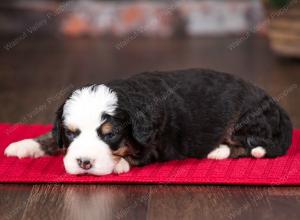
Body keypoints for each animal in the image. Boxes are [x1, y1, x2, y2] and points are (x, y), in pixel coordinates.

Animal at [3, 69, 292, 175]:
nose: (84, 162)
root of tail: (275, 101)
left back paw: (219, 150)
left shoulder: (158, 144)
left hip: (247, 119)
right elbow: (51, 137)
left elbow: (135, 154)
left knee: (253, 144)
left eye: (110, 134)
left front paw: (117, 163)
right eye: (71, 133)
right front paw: (26, 144)